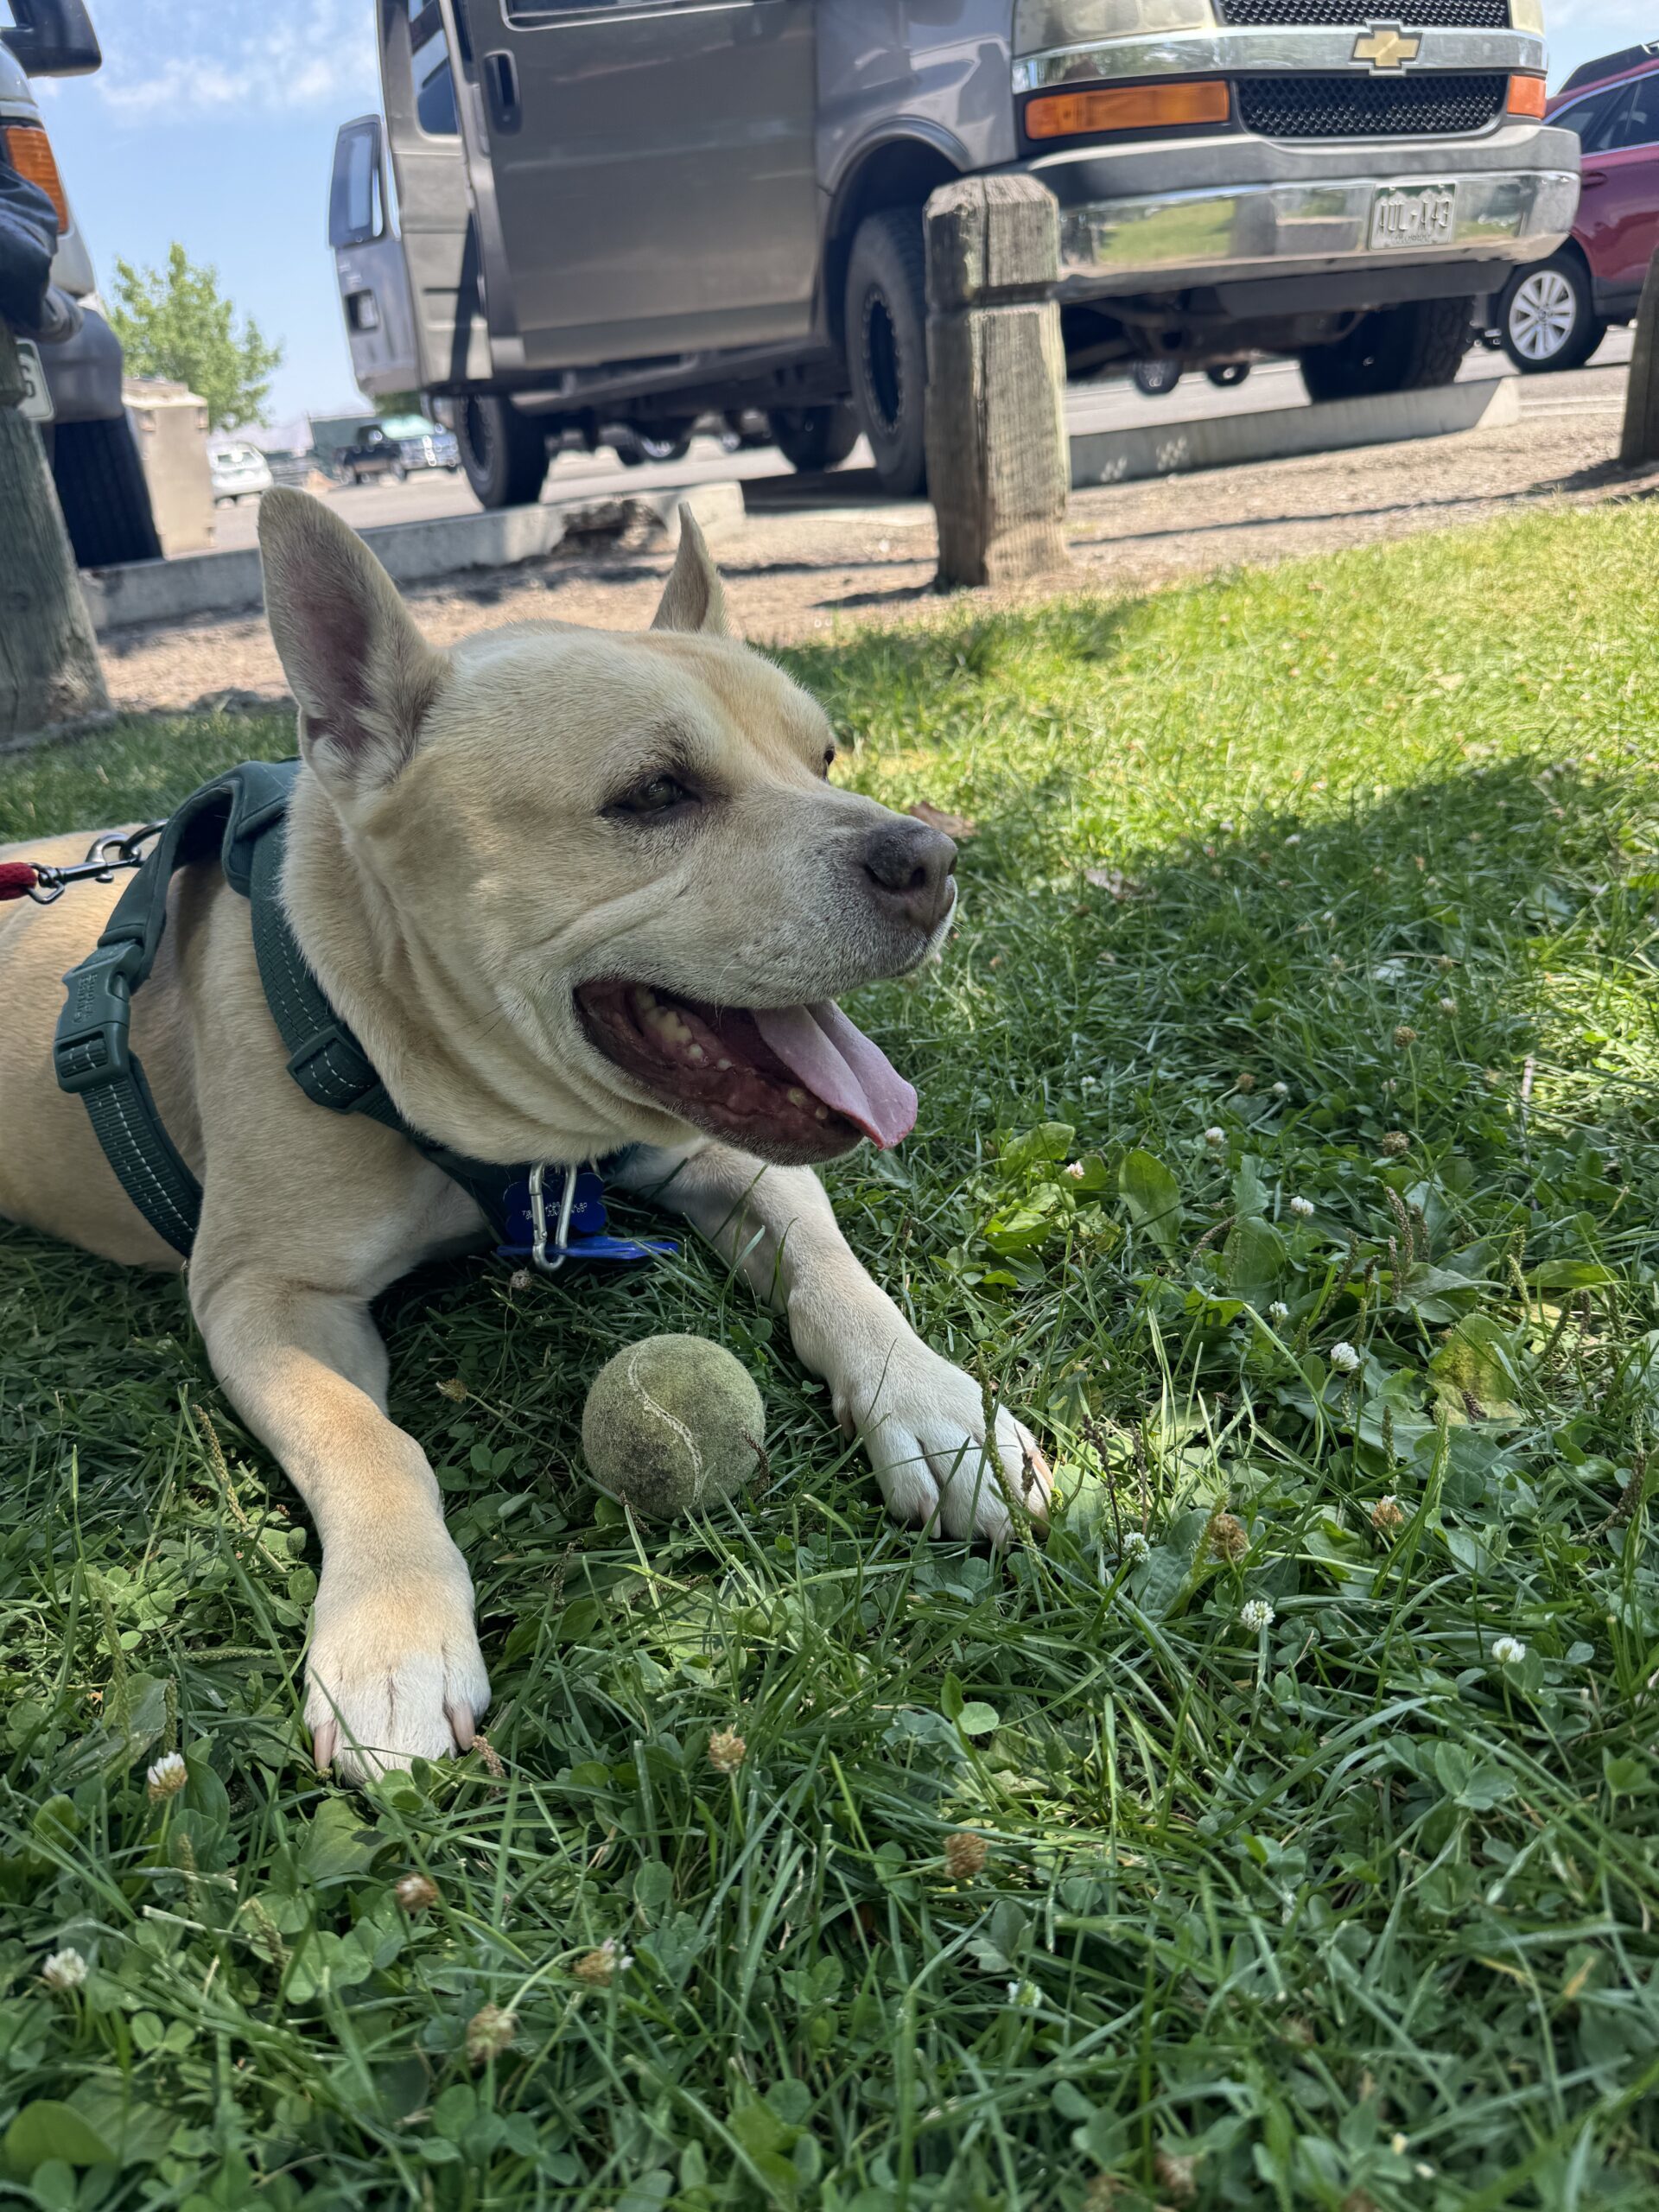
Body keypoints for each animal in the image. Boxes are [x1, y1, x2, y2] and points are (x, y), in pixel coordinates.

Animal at [0, 498, 1052, 1778]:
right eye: (653, 794)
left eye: (825, 760)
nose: (932, 859)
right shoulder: (264, 1295)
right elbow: (368, 1441)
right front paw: (394, 1635)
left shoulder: (732, 1162)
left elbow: (839, 1277)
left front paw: (945, 1414)